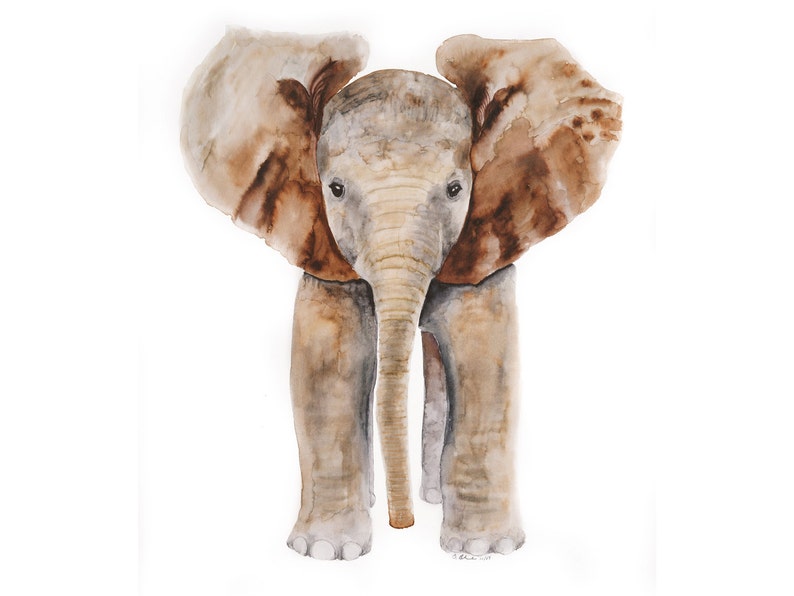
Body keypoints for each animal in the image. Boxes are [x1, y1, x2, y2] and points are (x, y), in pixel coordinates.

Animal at [180, 28, 622, 560]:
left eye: (455, 190)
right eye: (335, 189)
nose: (403, 526)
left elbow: (484, 360)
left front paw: (482, 550)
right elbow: (329, 364)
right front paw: (325, 552)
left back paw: (434, 499)